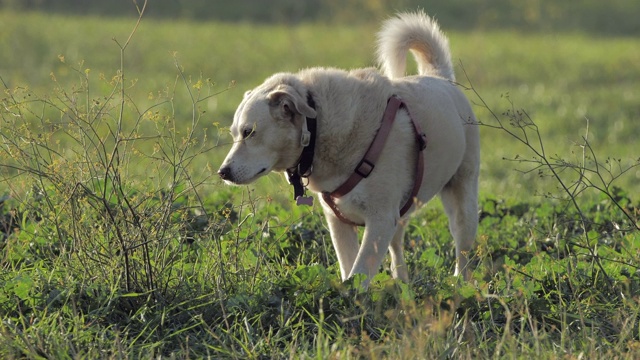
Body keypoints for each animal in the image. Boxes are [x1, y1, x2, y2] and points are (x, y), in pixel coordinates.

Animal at [218, 11, 478, 286]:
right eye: (235, 133)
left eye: (249, 132)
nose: (222, 172)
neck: (319, 127)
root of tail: (440, 77)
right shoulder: (339, 222)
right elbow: (348, 268)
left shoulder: (380, 220)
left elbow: (359, 272)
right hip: (401, 213)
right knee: (397, 248)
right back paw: (401, 283)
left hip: (462, 203)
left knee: (462, 250)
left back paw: (460, 283)